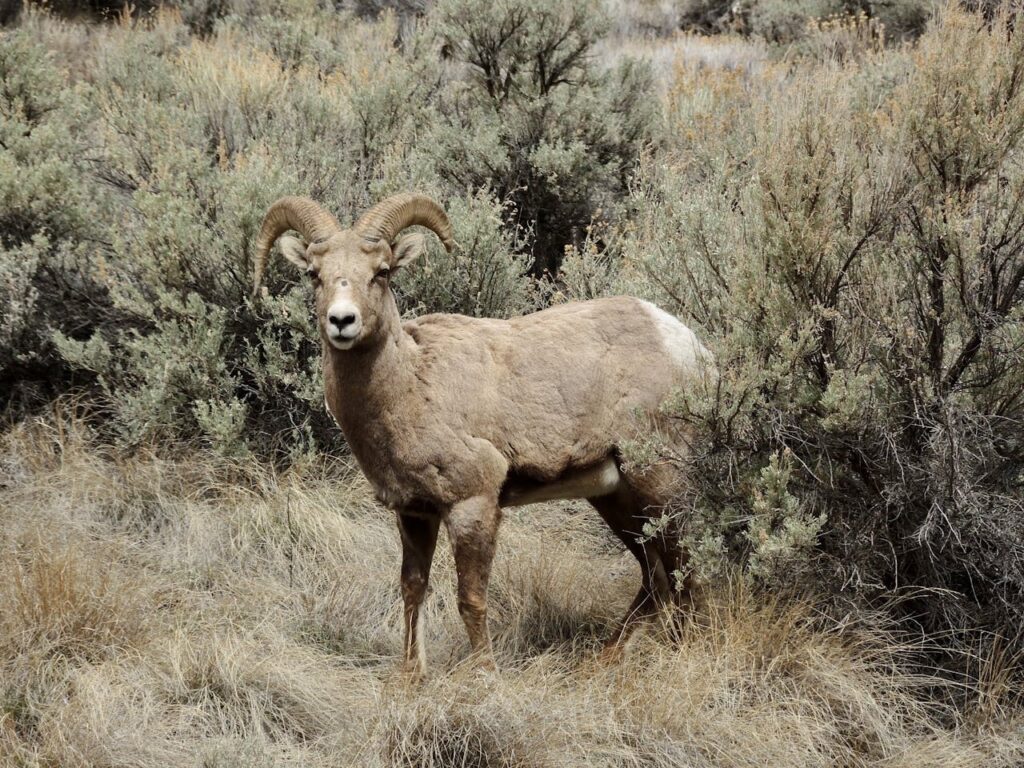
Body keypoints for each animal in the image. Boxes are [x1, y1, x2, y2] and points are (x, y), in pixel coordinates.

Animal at [253, 193, 715, 676]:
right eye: (314, 274)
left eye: (381, 271)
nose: (342, 321)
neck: (409, 385)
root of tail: (689, 346)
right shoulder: (414, 513)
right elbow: (412, 590)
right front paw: (409, 678)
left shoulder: (472, 504)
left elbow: (470, 600)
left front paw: (485, 676)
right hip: (615, 498)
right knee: (655, 577)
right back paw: (602, 661)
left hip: (659, 482)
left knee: (685, 570)